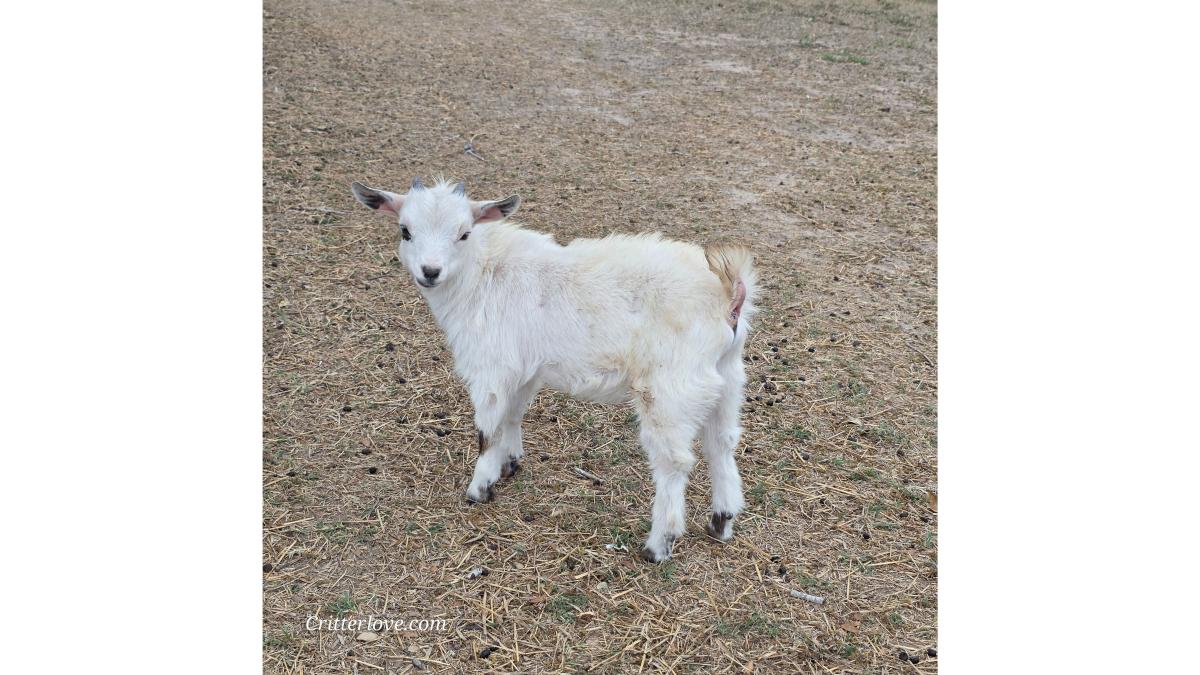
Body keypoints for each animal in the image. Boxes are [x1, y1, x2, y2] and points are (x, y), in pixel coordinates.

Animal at [352, 177, 757, 562]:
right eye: (405, 230)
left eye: (464, 233)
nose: (430, 271)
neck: (483, 274)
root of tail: (728, 290)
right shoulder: (525, 369)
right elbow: (513, 415)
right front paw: (510, 463)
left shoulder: (491, 366)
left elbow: (488, 429)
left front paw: (479, 488)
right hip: (726, 376)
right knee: (722, 442)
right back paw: (721, 520)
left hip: (670, 387)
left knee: (674, 460)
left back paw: (659, 545)